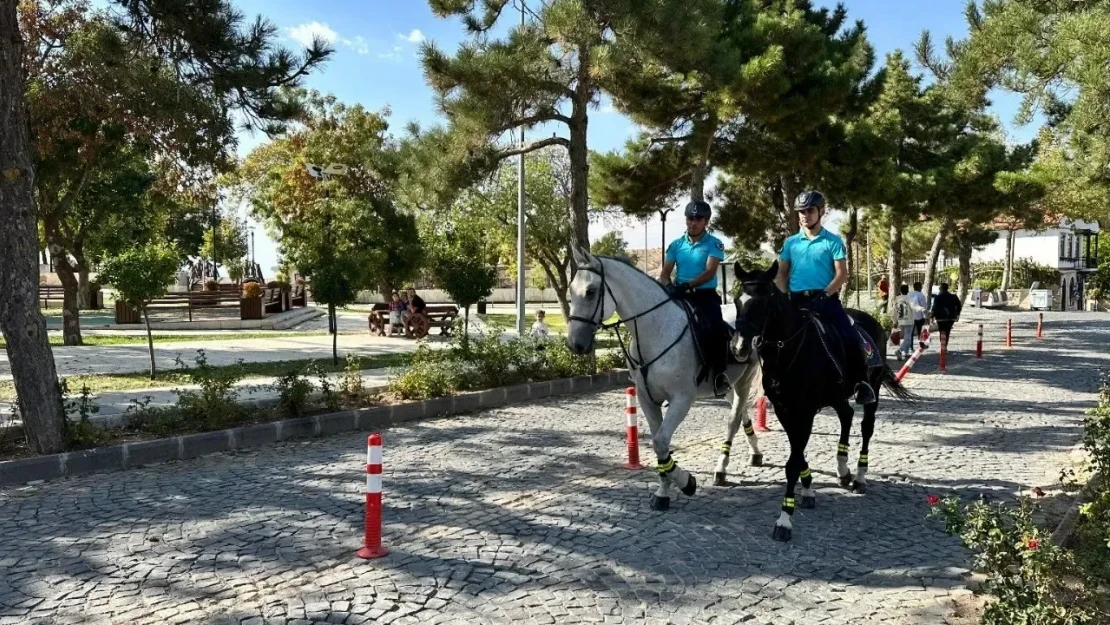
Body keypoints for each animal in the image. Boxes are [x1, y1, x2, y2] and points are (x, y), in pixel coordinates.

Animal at [572, 242, 763, 510]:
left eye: (590, 292)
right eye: (571, 289)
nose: (574, 344)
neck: (656, 330)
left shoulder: (681, 399)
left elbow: (661, 442)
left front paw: (687, 483)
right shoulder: (647, 398)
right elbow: (658, 443)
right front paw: (662, 493)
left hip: (744, 380)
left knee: (733, 420)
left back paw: (722, 468)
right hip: (727, 384)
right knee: (741, 412)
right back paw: (754, 454)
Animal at [732, 261, 914, 539]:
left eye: (762, 302)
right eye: (736, 300)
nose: (739, 347)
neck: (788, 352)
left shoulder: (805, 411)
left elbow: (793, 461)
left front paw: (784, 519)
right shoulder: (786, 411)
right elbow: (798, 452)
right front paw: (808, 490)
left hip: (871, 390)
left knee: (866, 428)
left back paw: (859, 477)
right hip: (837, 395)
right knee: (847, 416)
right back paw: (842, 470)